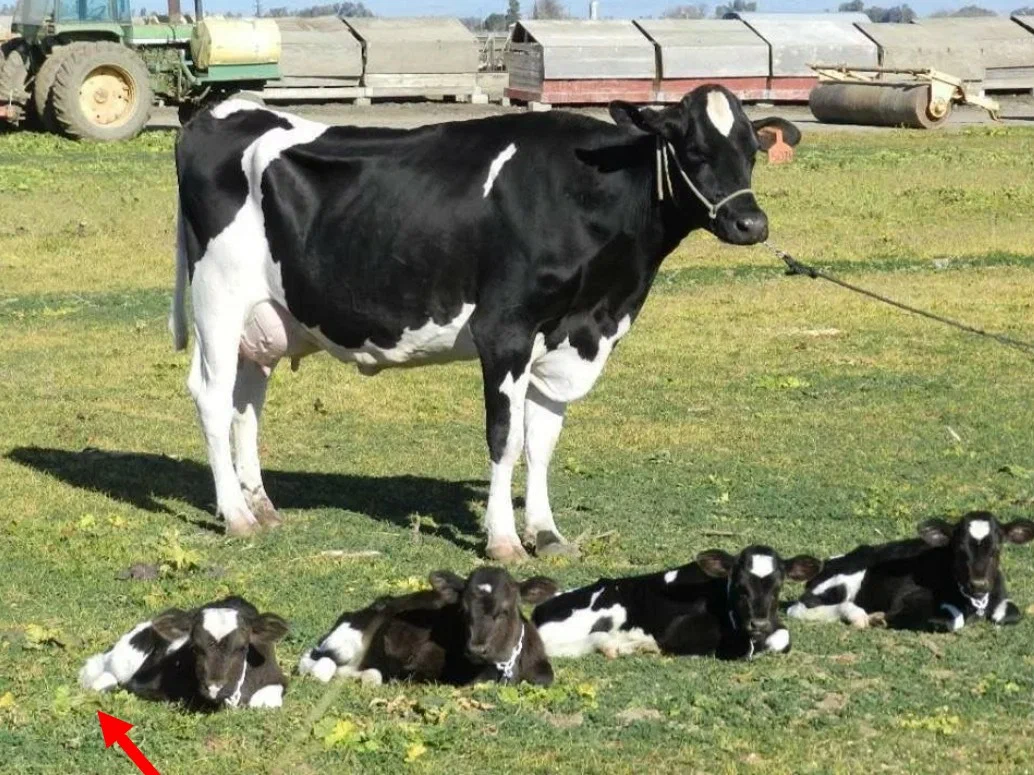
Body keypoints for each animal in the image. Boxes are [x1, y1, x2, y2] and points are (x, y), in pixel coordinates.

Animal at [171, 86, 798, 558]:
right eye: (691, 148)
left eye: (751, 149)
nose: (751, 223)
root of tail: (222, 111)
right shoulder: (506, 330)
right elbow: (506, 436)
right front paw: (503, 541)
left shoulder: (567, 337)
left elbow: (542, 440)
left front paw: (546, 532)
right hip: (218, 297)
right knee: (211, 395)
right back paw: (236, 516)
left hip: (265, 318)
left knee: (247, 400)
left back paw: (262, 506)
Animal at [781, 512, 1034, 632]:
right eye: (959, 549)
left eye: (997, 548)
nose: (979, 584)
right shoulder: (907, 598)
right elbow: (951, 620)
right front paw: (882, 618)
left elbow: (1012, 612)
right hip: (845, 578)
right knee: (800, 608)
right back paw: (859, 615)